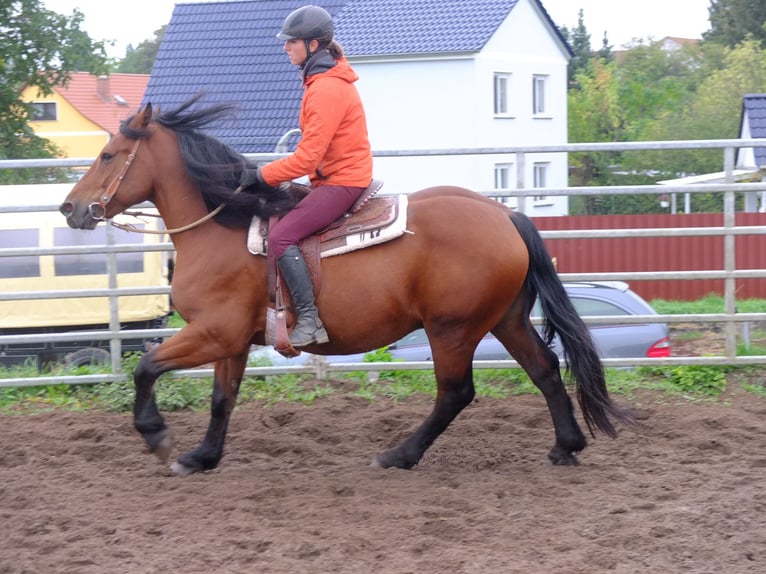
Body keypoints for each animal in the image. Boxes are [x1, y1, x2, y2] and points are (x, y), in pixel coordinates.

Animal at [60, 98, 632, 476]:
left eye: (109, 155)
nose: (71, 207)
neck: (222, 226)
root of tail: (505, 215)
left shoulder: (212, 332)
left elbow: (145, 367)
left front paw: (156, 435)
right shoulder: (232, 341)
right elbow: (223, 398)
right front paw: (203, 456)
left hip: (452, 329)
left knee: (456, 392)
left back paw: (401, 454)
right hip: (505, 320)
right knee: (545, 369)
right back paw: (566, 445)